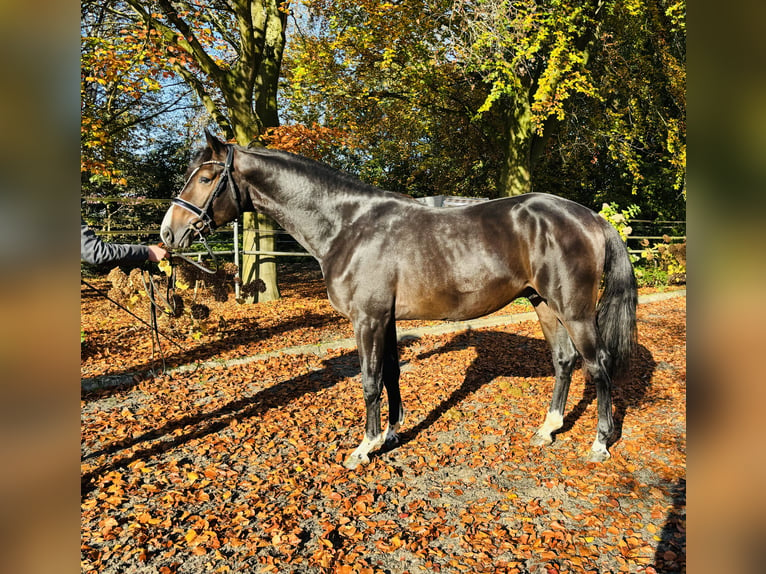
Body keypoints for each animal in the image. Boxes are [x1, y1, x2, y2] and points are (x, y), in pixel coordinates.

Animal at [159, 133, 640, 470]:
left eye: (206, 178)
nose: (168, 233)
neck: (348, 224)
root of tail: (591, 216)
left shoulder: (367, 319)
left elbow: (370, 380)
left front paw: (364, 447)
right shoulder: (385, 319)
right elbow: (391, 374)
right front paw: (390, 435)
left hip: (575, 311)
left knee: (598, 365)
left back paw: (599, 443)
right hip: (543, 303)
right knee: (564, 361)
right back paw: (548, 429)